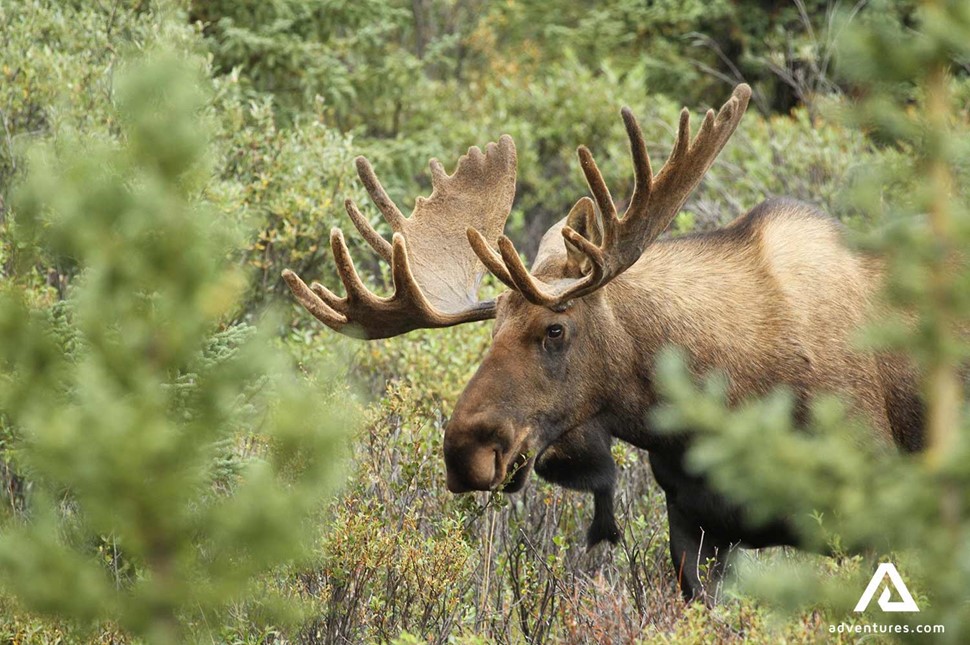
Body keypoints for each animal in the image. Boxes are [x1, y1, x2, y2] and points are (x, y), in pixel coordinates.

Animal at [282, 84, 924, 600]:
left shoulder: (873, 510)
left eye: (555, 328)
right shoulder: (696, 527)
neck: (719, 400)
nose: (464, 450)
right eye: (491, 329)